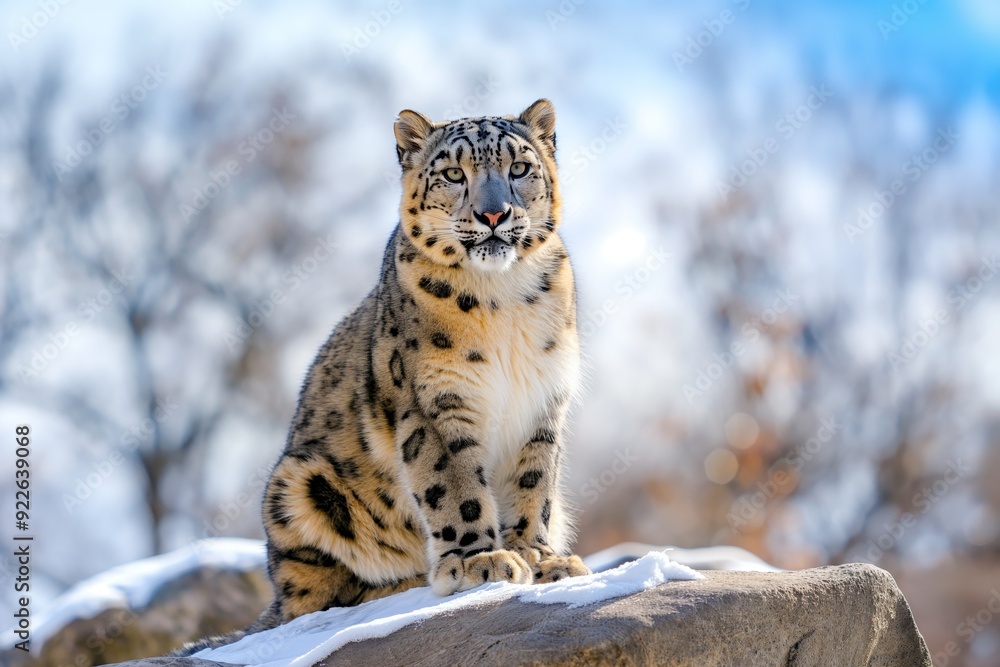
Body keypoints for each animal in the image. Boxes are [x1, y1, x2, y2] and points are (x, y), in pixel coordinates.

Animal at [178, 99, 589, 653]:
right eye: (453, 174)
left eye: (520, 168)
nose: (493, 214)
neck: (502, 300)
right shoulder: (435, 402)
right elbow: (455, 486)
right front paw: (479, 561)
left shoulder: (543, 401)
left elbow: (533, 485)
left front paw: (540, 557)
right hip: (297, 485)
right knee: (319, 599)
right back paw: (403, 582)